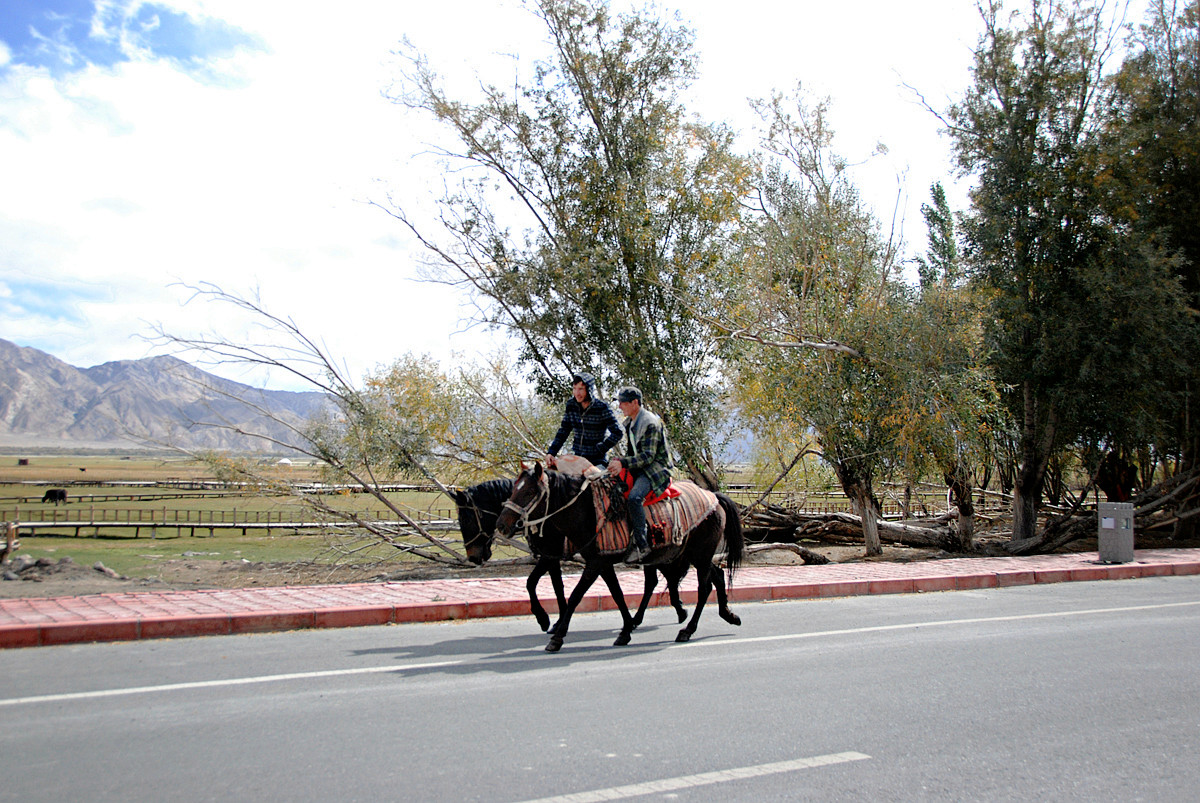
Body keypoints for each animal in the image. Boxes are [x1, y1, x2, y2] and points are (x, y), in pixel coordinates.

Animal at [489, 463, 739, 652]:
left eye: (529, 492)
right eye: (513, 489)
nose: (501, 525)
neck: (588, 511)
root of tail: (714, 497)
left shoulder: (591, 562)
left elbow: (574, 595)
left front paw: (556, 635)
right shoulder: (600, 561)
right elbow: (616, 594)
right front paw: (626, 630)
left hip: (699, 555)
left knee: (703, 588)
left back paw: (687, 629)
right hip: (691, 555)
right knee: (714, 576)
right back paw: (727, 615)